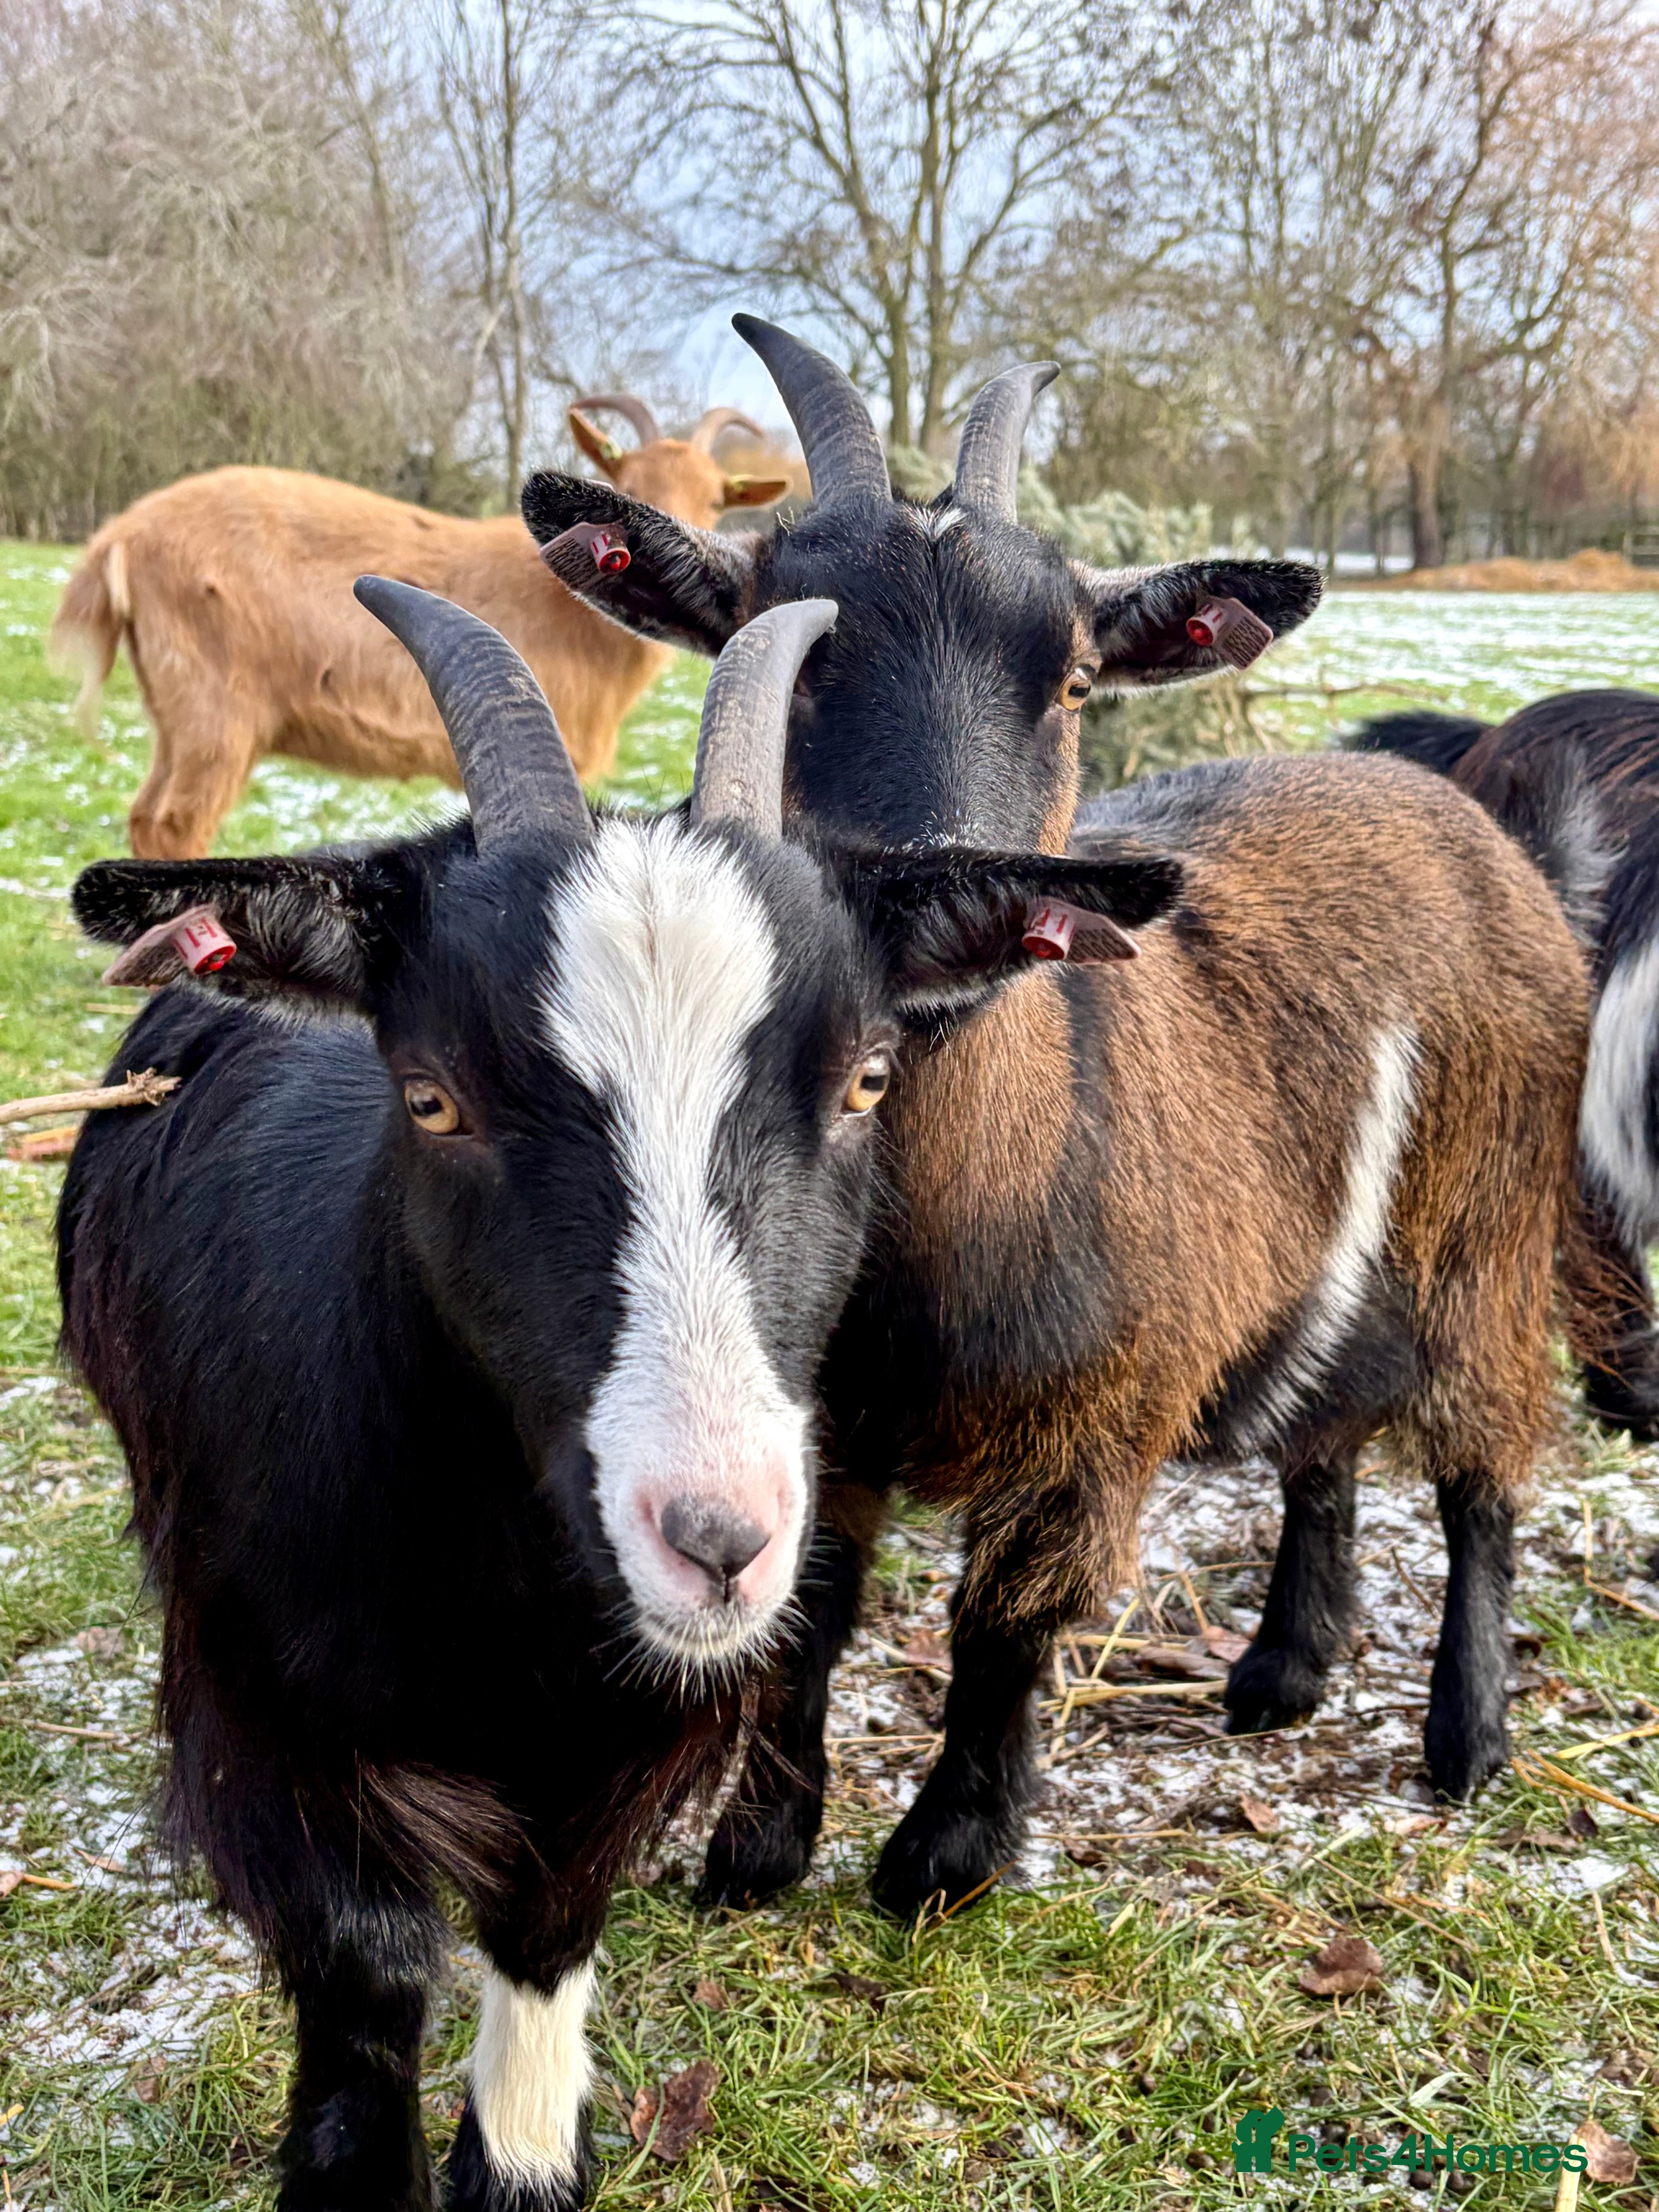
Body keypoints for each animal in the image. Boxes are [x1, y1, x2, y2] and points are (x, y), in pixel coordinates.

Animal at [46, 397, 790, 860]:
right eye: (623, 474)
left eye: (716, 498)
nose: (636, 542)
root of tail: (121, 536)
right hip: (216, 707)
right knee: (175, 823)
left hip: (172, 708)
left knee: (145, 815)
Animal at [58, 578, 1169, 2210]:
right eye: (430, 1094)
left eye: (867, 1081)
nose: (718, 1540)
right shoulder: (260, 1706)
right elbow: (364, 1960)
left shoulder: (618, 1729)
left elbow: (545, 1926)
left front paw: (523, 2157)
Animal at [520, 320, 1598, 1921]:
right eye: (780, 653)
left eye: (1079, 675)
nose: (949, 886)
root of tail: (1440, 794)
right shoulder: (805, 1425)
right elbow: (807, 1617)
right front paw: (757, 1853)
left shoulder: (1098, 1418)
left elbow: (1002, 1622)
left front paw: (943, 1858)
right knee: (1325, 1433)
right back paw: (1279, 1672)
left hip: (1488, 1215)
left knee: (1478, 1465)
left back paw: (1464, 1740)